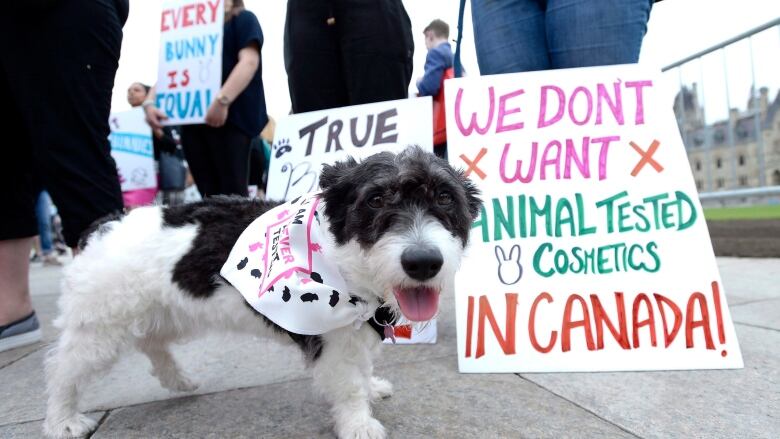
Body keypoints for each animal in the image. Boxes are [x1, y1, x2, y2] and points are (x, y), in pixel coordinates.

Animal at [44, 148, 482, 439]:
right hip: (98, 329)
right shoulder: (332, 342)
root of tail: (102, 225)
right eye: (375, 199)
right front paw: (358, 423)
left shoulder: (356, 329)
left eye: (445, 197)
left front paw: (372, 387)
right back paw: (63, 420)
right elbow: (348, 383)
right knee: (65, 370)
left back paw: (177, 379)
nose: (423, 262)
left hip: (162, 312)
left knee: (152, 342)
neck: (340, 262)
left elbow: (363, 367)